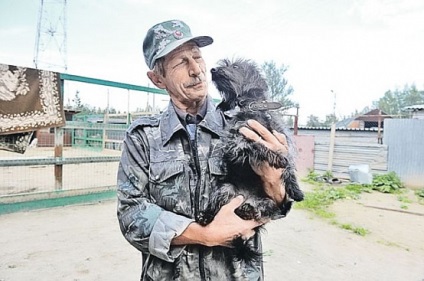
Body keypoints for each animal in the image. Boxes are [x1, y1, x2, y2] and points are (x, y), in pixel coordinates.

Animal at [197, 58, 304, 264]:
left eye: (235, 66)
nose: (213, 70)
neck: (253, 109)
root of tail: (246, 199)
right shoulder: (235, 143)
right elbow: (257, 145)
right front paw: (276, 158)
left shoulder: (280, 137)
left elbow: (288, 166)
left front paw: (296, 190)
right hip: (226, 189)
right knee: (216, 208)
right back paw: (206, 216)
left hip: (268, 202)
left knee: (262, 210)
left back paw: (249, 210)